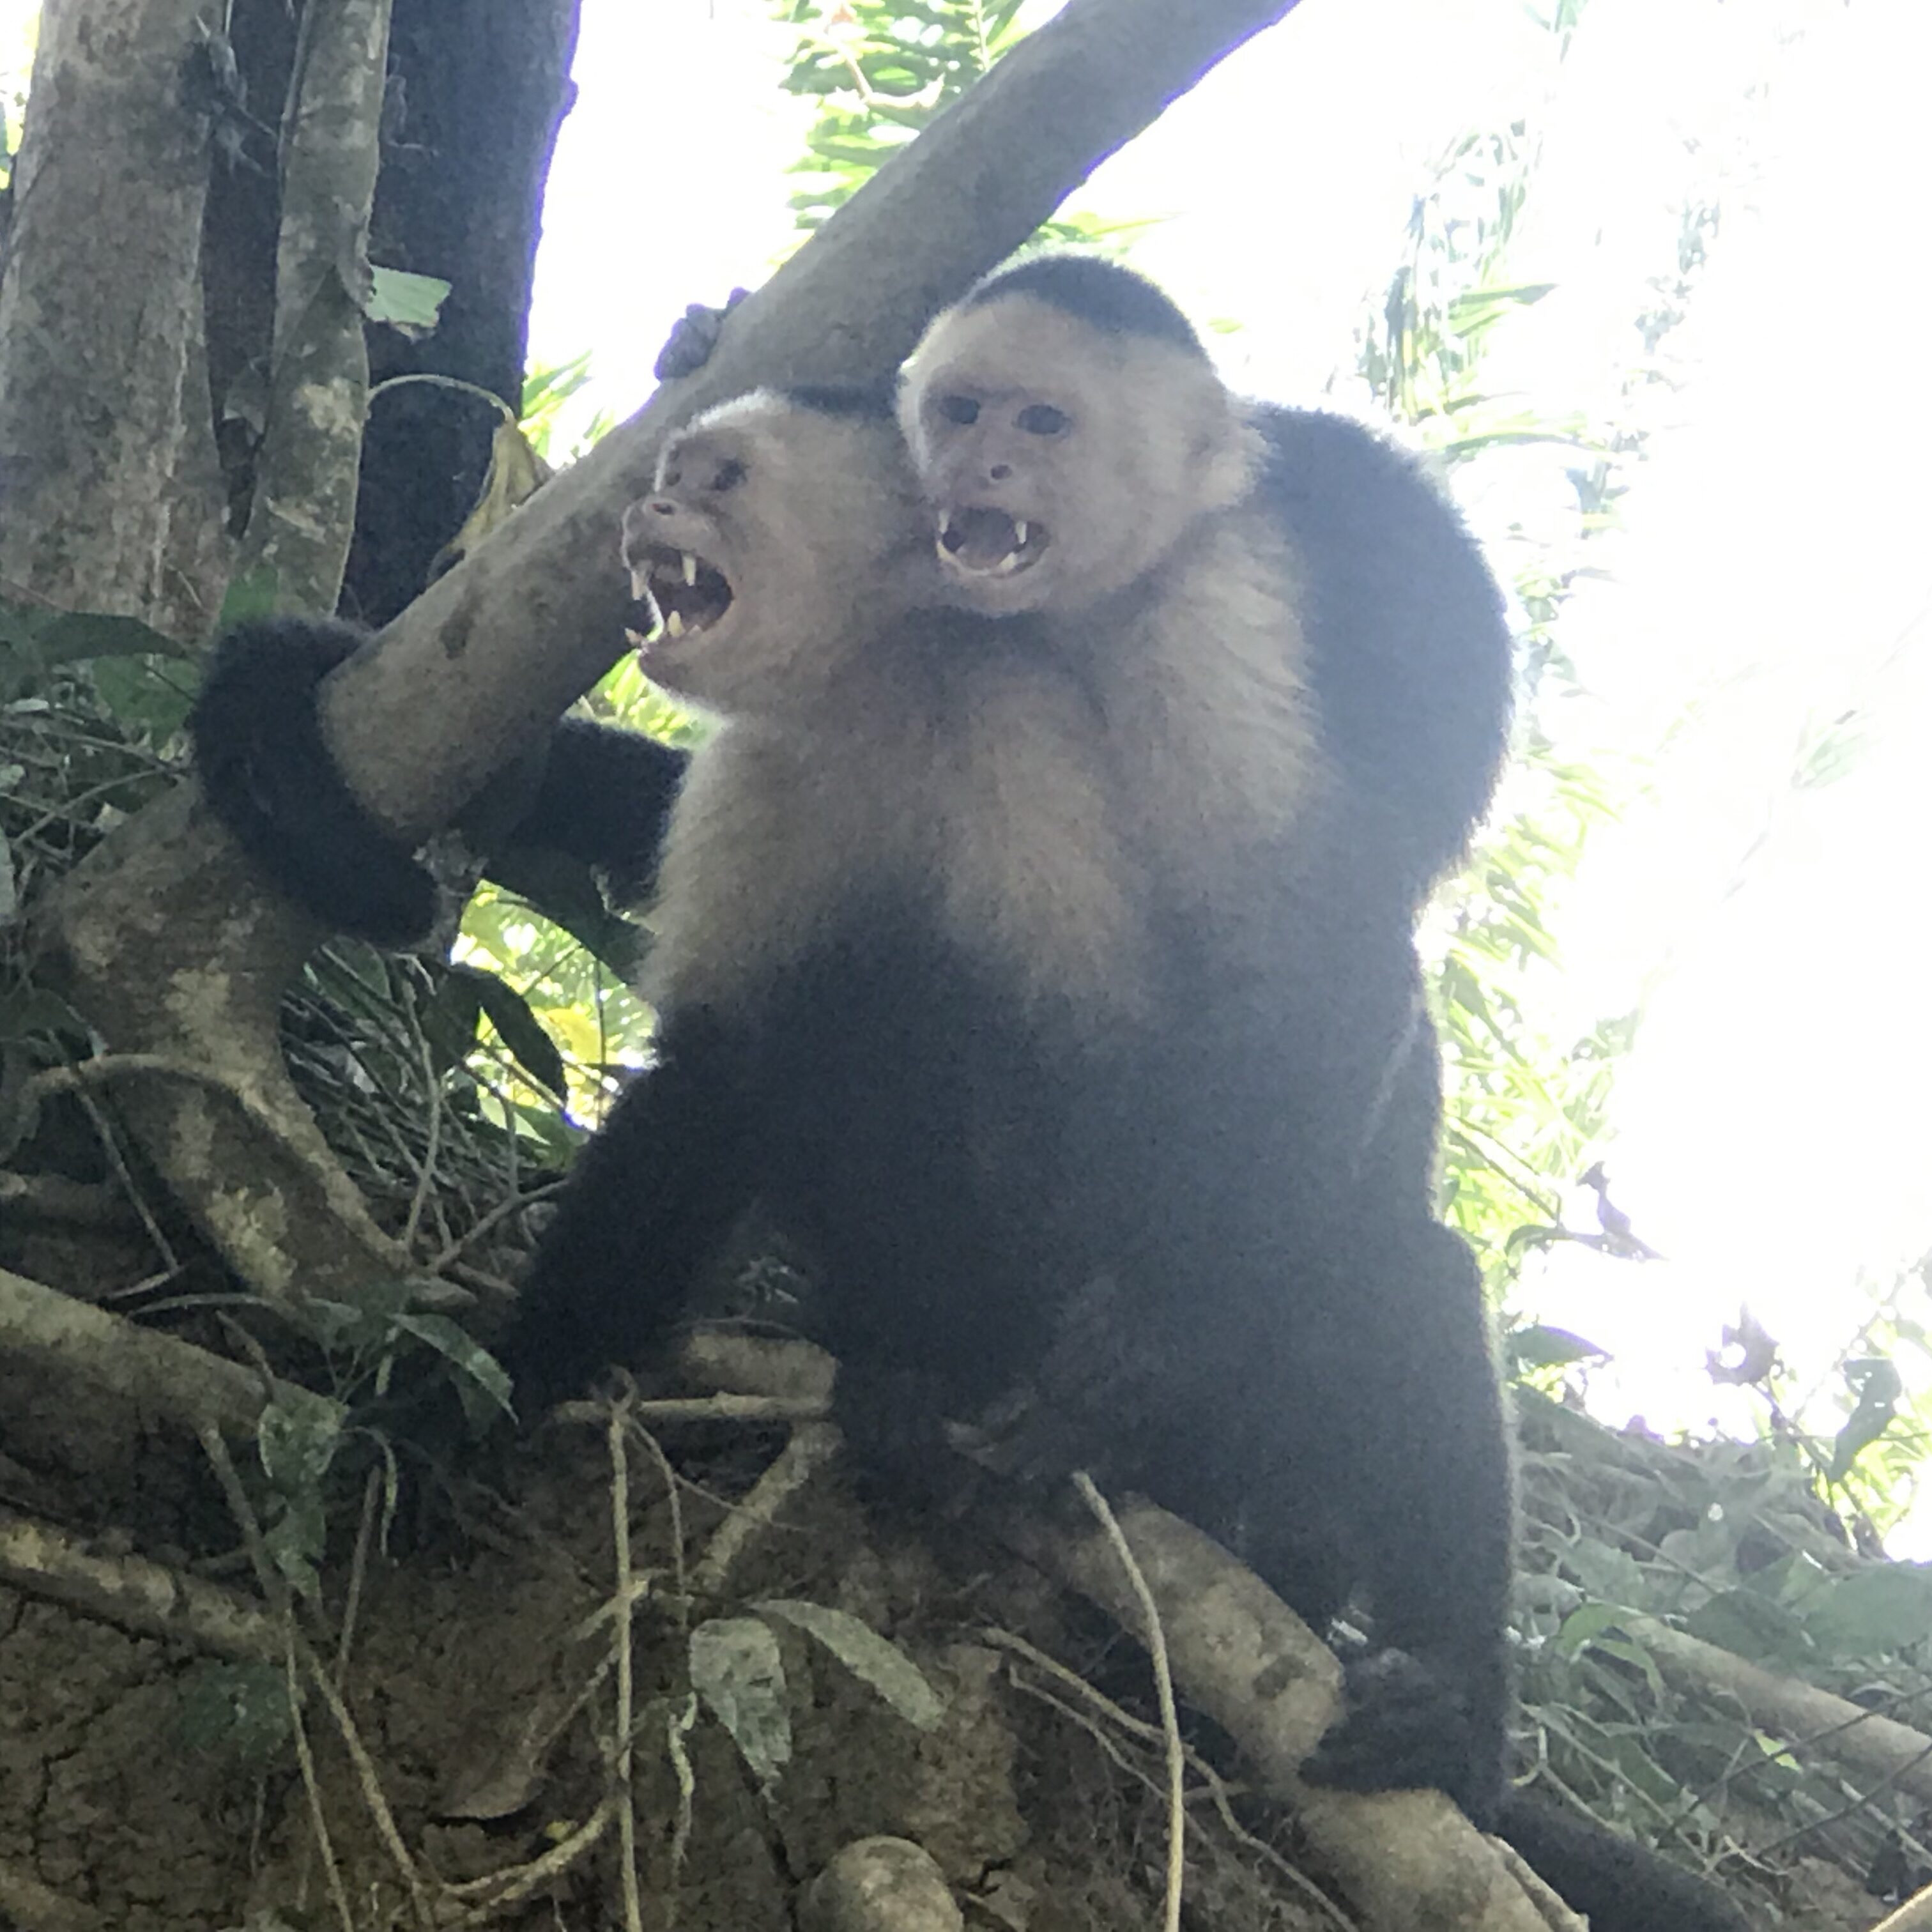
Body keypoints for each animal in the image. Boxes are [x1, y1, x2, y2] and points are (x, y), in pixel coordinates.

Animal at [494, 376, 1749, 1932]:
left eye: (719, 478)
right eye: (677, 470)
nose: (648, 504)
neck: (890, 688)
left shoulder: (1027, 738)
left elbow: (1108, 1064)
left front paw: (1057, 1372)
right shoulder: (762, 775)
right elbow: (722, 1066)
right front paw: (512, 1378)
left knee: (1380, 1272)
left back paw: (1440, 1703)